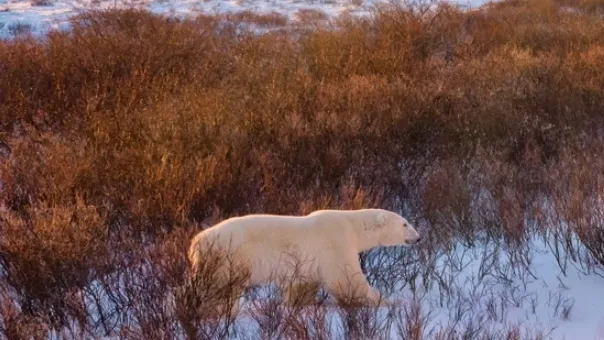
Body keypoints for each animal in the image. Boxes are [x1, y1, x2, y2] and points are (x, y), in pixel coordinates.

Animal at [188, 209, 420, 318]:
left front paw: (299, 304)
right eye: (405, 223)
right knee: (219, 288)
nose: (418, 238)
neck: (352, 225)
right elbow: (347, 280)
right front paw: (386, 301)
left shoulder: (306, 263)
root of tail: (196, 242)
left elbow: (302, 284)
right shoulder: (335, 241)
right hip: (228, 256)